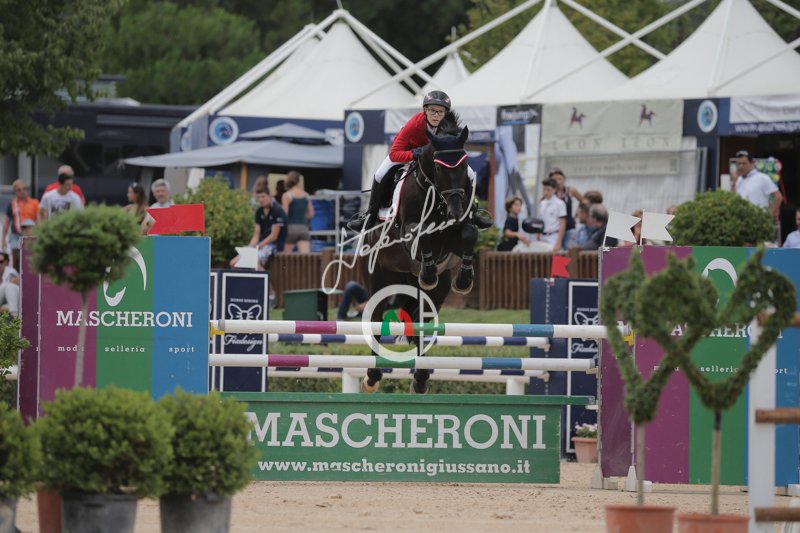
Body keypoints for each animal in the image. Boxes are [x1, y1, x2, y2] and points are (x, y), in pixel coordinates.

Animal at [360, 111, 478, 394]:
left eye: (464, 165)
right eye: (439, 167)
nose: (456, 210)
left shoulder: (455, 237)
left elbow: (469, 233)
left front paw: (464, 280)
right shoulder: (408, 235)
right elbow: (421, 234)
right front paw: (428, 272)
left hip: (435, 291)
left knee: (420, 324)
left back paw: (421, 379)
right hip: (380, 277)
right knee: (377, 319)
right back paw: (372, 377)